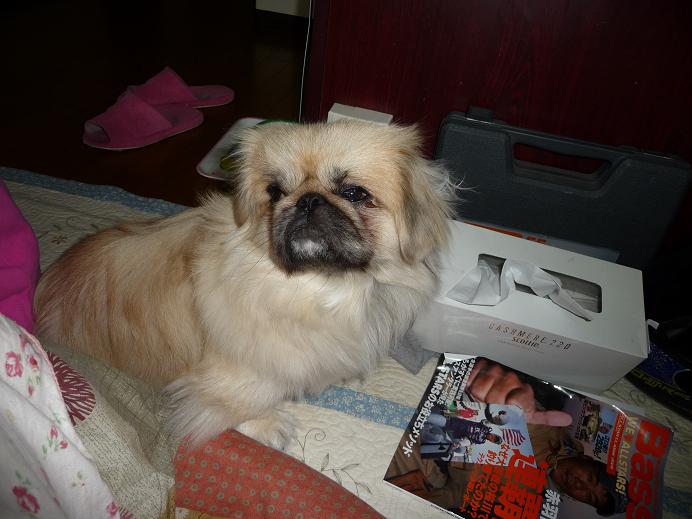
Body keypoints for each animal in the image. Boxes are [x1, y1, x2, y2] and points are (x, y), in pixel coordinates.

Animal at [34, 120, 454, 449]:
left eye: (354, 193)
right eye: (276, 193)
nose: (307, 201)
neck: (321, 289)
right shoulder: (217, 380)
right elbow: (231, 405)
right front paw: (270, 424)